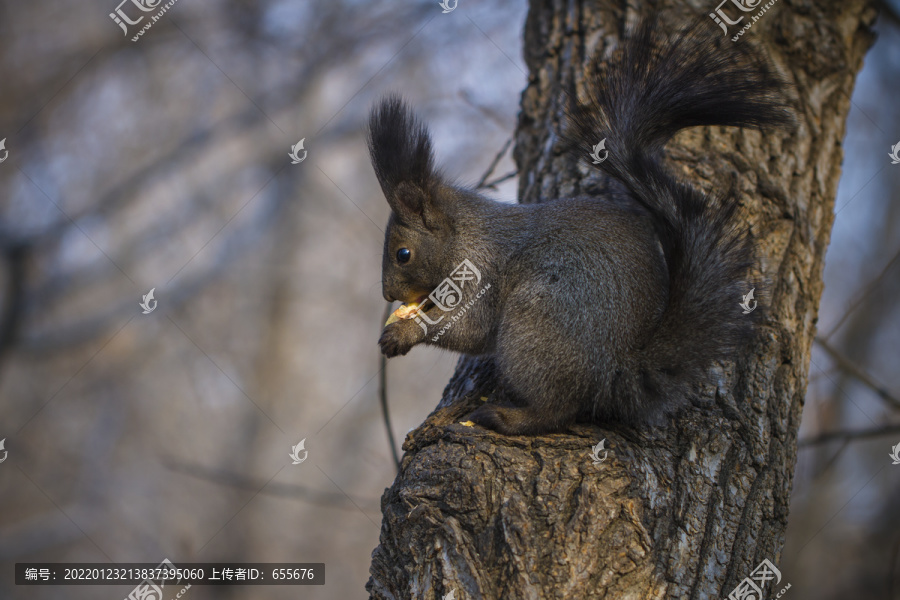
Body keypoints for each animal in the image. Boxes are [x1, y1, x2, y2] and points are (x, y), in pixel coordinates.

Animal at [366, 19, 788, 436]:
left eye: (403, 254)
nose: (389, 295)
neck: (463, 234)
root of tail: (616, 372)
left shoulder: (479, 269)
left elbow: (471, 328)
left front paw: (403, 333)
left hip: (536, 322)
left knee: (558, 409)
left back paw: (509, 418)